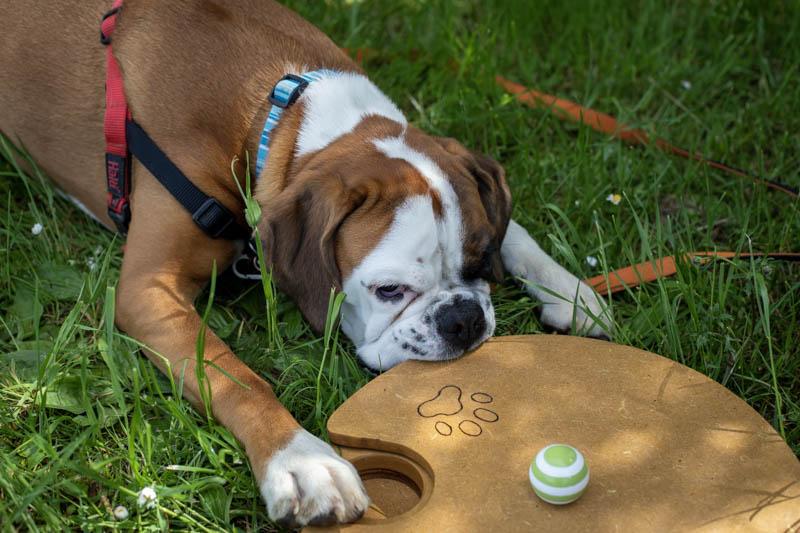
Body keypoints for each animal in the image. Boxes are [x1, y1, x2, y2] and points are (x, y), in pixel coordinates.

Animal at [1, 0, 612, 524]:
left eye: (482, 264)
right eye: (389, 291)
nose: (462, 319)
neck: (273, 116)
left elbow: (518, 233)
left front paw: (569, 291)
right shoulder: (148, 288)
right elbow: (235, 375)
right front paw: (302, 461)